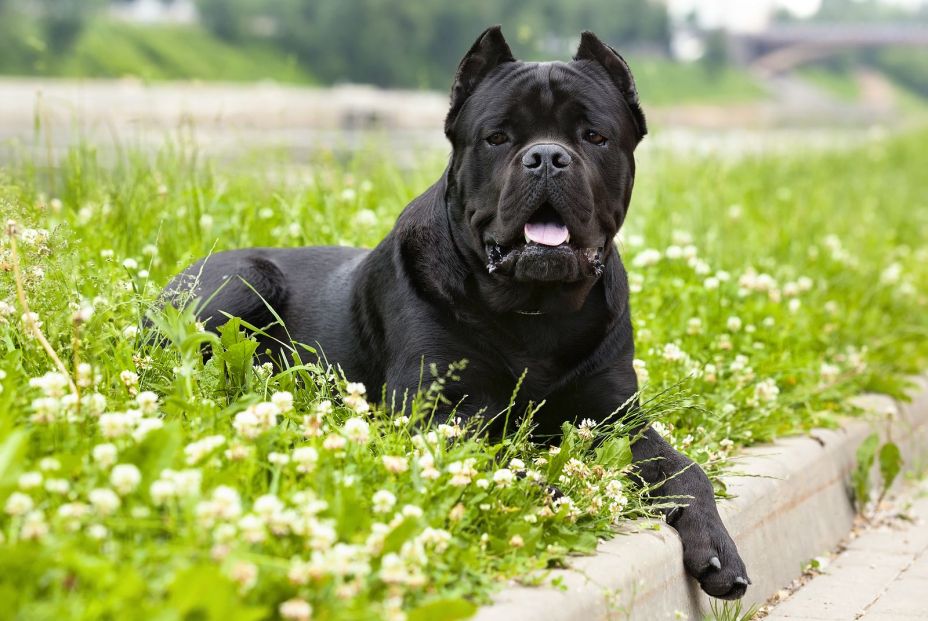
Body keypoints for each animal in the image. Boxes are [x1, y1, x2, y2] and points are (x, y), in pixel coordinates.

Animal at [165, 26, 748, 600]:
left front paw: (719, 547)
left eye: (593, 136)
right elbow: (502, 463)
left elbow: (684, 467)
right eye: (498, 137)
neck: (534, 309)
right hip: (242, 282)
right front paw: (558, 491)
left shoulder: (615, 415)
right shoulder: (437, 411)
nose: (546, 157)